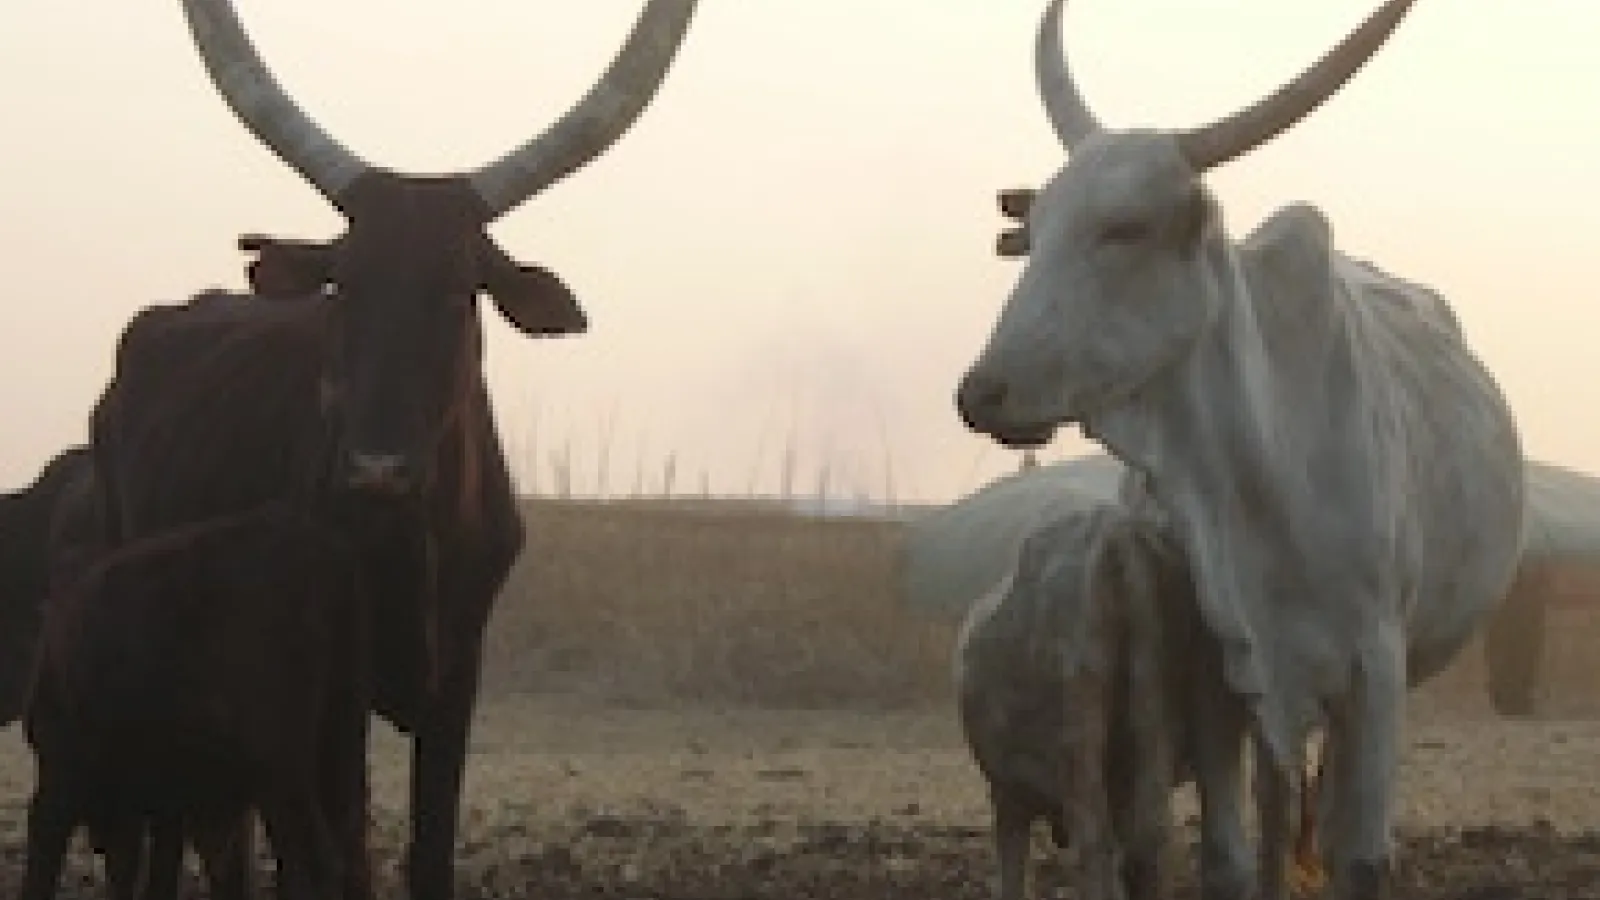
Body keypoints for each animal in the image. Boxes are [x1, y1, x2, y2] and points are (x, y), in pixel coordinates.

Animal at [20, 503, 372, 900]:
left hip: (282, 771)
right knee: (350, 849)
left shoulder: (63, 772)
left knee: (315, 863)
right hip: (338, 745)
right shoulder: (167, 801)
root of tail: (322, 551)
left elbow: (48, 847)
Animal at [73, 3, 701, 900]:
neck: (414, 541)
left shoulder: (459, 675)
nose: (376, 471)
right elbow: (340, 862)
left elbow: (428, 850)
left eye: (459, 290)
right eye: (347, 284)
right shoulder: (326, 696)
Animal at [954, 2, 1525, 899]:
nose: (983, 393)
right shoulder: (1219, 666)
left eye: (1125, 228)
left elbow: (1362, 855)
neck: (1259, 473)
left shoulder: (1377, 668)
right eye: (1035, 232)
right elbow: (1225, 852)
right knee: (1274, 804)